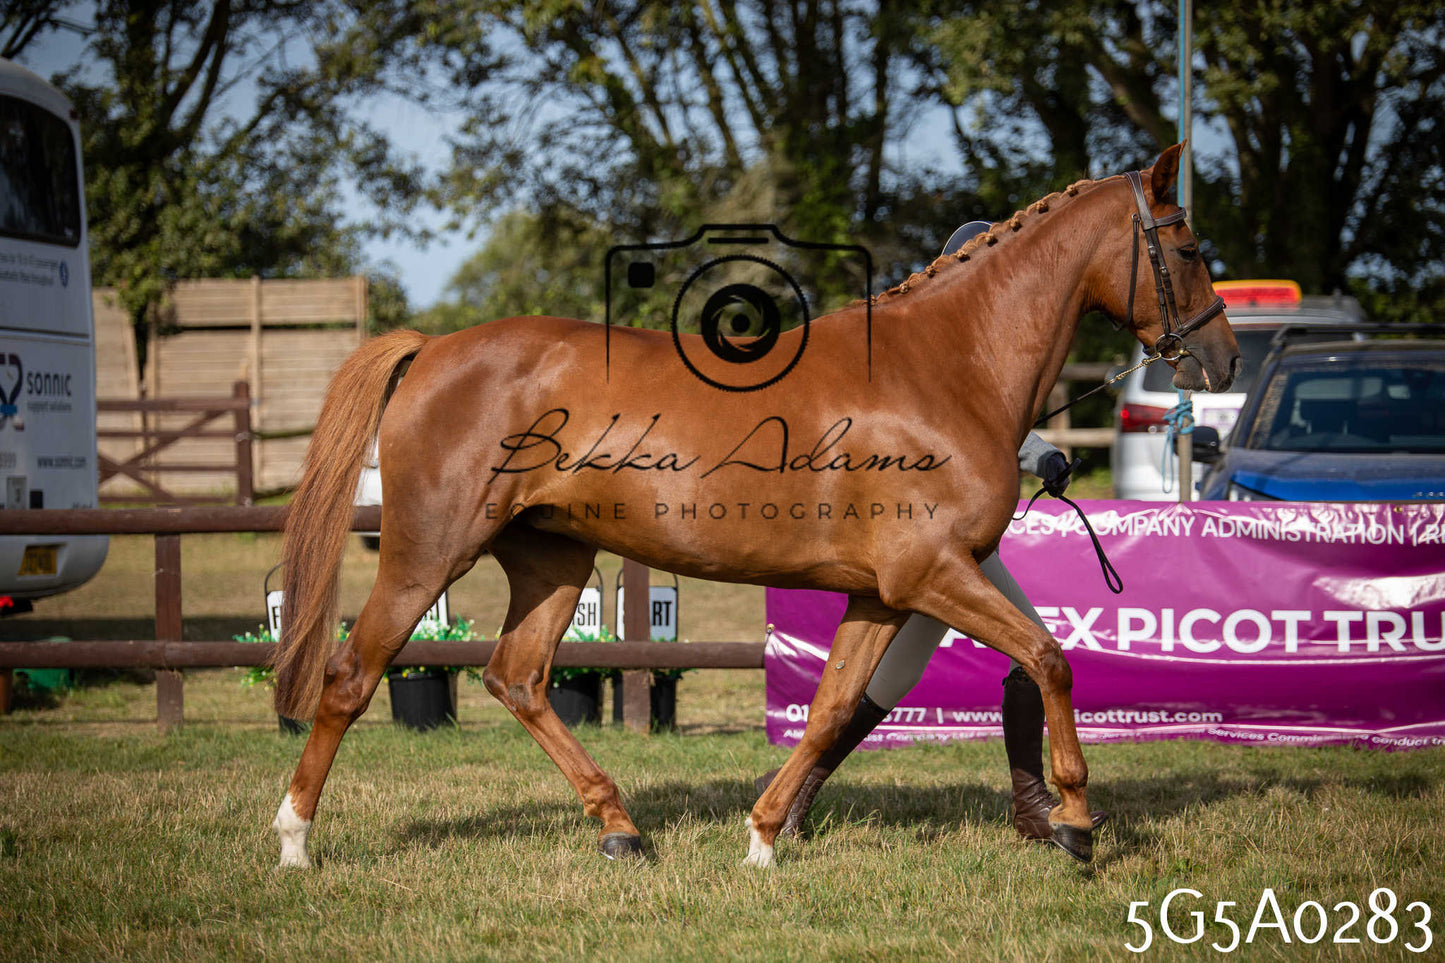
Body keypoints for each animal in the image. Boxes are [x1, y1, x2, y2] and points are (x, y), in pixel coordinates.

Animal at [269, 143, 1240, 869]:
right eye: (1189, 248)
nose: (1222, 359)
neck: (943, 365)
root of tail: (433, 349)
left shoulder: (881, 593)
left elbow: (835, 707)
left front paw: (766, 834)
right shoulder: (928, 573)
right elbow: (1048, 659)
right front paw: (1075, 822)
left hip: (552, 557)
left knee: (517, 676)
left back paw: (621, 830)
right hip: (428, 551)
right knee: (351, 676)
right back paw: (294, 839)